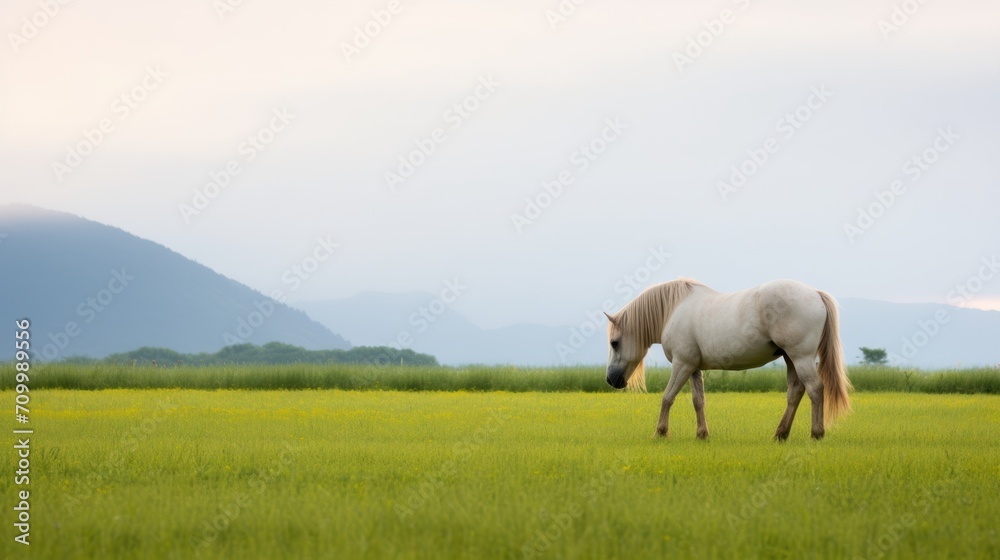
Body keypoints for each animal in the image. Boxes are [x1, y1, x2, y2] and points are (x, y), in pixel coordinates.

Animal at [604, 278, 851, 440]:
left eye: (614, 343)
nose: (610, 380)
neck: (674, 310)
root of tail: (815, 293)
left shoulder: (682, 364)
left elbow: (667, 397)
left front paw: (660, 432)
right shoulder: (693, 367)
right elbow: (698, 400)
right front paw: (702, 434)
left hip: (801, 357)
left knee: (815, 389)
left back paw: (816, 433)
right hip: (791, 358)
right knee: (796, 392)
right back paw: (781, 434)